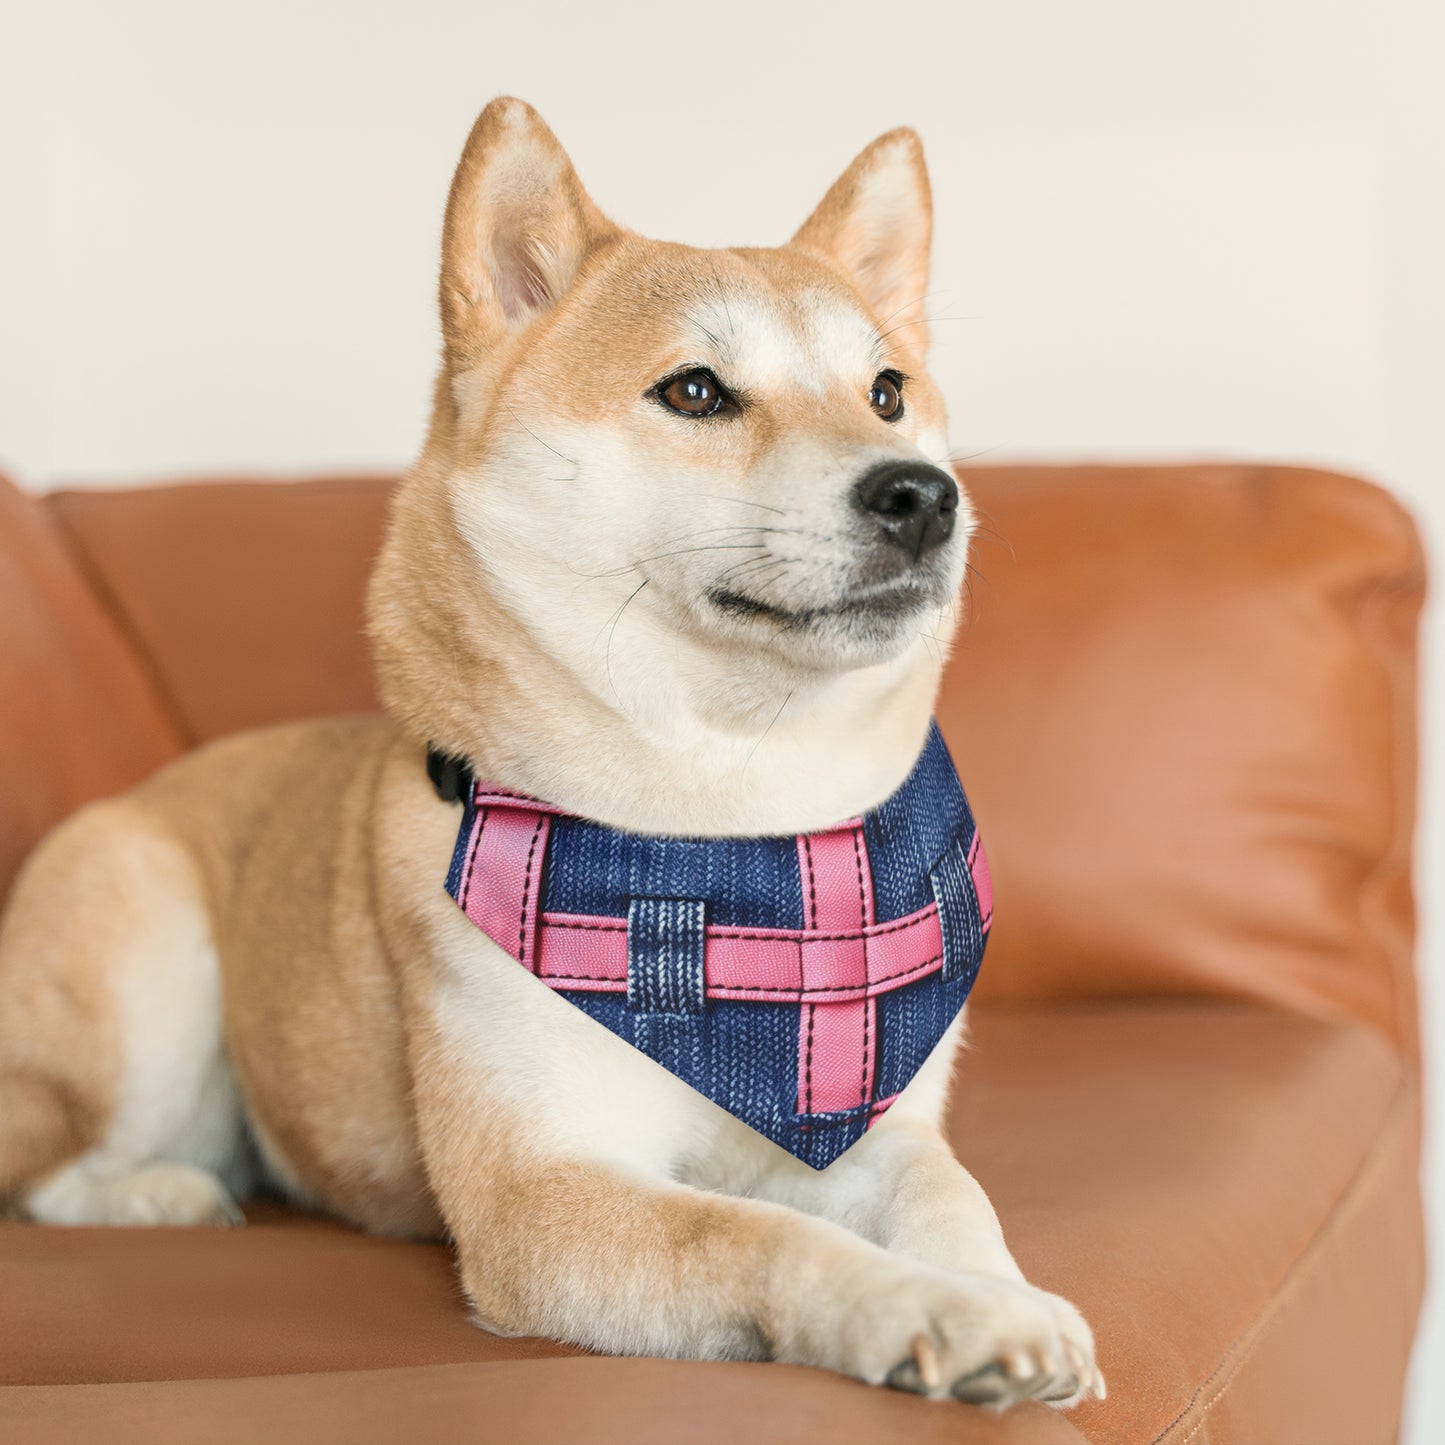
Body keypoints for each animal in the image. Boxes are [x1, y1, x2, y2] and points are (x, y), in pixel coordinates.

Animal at [0, 96, 1092, 1404]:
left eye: (886, 390)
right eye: (694, 390)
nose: (923, 495)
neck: (728, 836)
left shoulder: (876, 1125)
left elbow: (949, 1194)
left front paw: (1002, 1293)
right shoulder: (541, 1193)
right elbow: (765, 1234)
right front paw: (928, 1308)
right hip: (144, 962)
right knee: (48, 1167)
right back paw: (163, 1192)